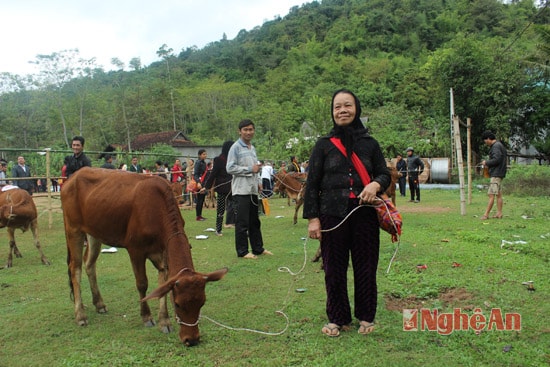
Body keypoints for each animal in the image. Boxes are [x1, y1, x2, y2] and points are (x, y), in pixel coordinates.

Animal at [58, 168, 226, 346]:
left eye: (202, 302)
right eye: (178, 304)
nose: (191, 339)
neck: (157, 209)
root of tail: (72, 178)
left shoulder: (163, 251)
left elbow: (163, 285)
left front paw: (164, 321)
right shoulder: (135, 250)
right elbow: (142, 284)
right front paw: (147, 316)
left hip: (94, 232)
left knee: (89, 264)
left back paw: (99, 303)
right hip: (73, 230)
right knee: (75, 269)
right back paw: (80, 314)